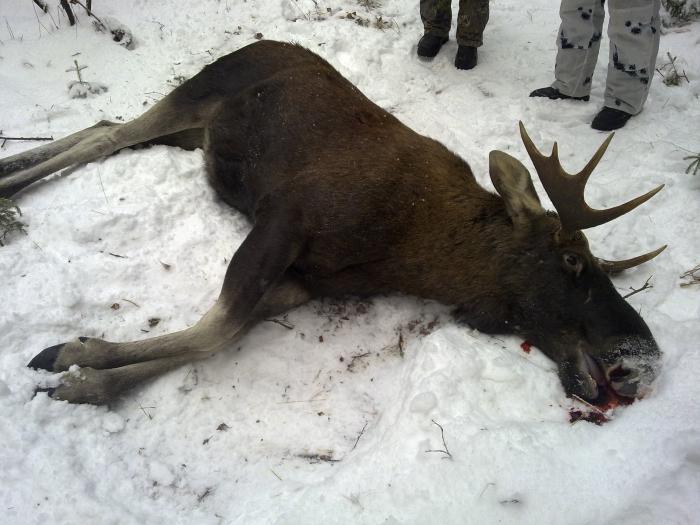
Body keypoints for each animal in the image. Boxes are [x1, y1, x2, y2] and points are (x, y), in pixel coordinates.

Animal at [1, 40, 665, 407]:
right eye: (572, 259)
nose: (646, 355)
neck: (414, 252)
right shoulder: (287, 215)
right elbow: (217, 330)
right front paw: (69, 359)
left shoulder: (308, 282)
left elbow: (226, 332)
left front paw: (86, 373)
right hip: (196, 93)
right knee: (108, 133)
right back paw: (10, 184)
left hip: (194, 135)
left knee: (104, 127)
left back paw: (11, 168)